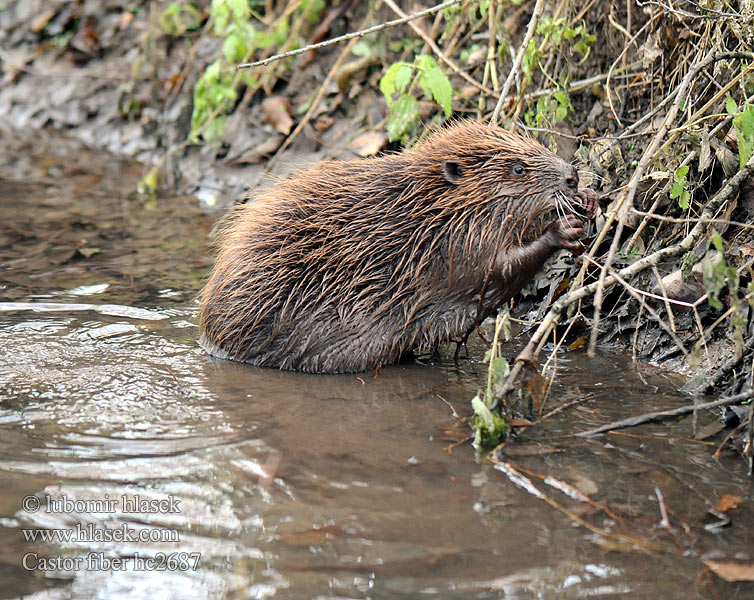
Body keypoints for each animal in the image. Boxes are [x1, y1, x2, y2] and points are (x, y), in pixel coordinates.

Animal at [197, 120, 596, 372]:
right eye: (517, 170)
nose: (572, 176)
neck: (428, 207)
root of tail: (207, 335)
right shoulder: (454, 244)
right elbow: (496, 270)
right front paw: (564, 228)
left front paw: (588, 201)